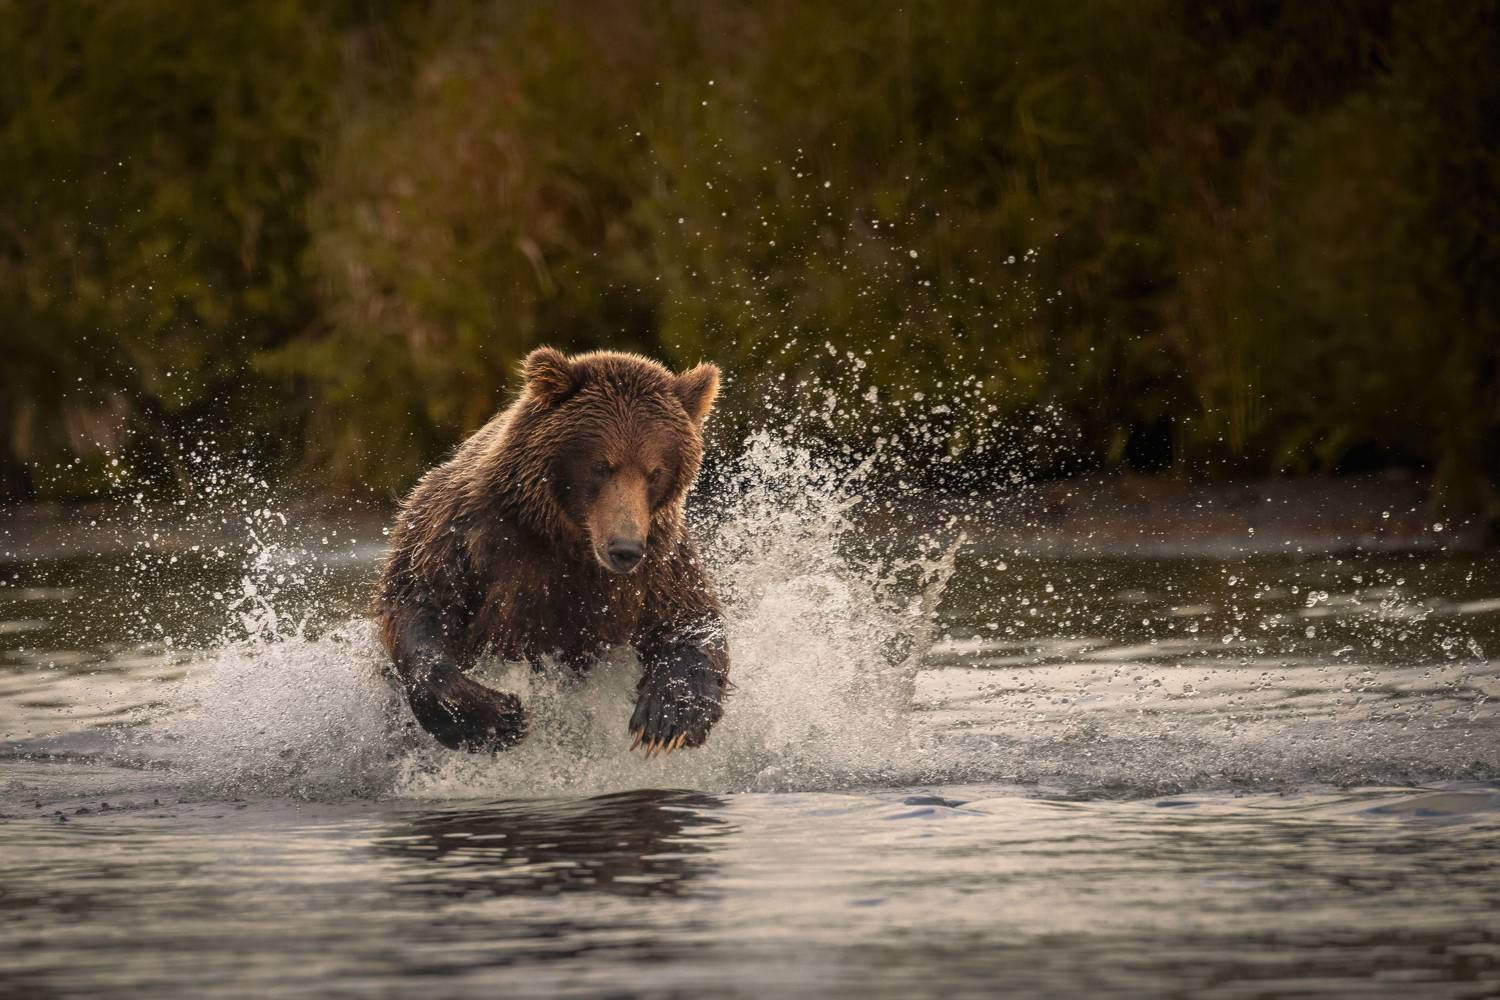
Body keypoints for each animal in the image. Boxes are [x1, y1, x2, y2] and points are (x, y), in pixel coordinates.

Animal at [374, 347, 729, 757]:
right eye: (601, 465)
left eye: (654, 471)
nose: (624, 548)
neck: (565, 536)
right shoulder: (465, 533)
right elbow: (420, 600)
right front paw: (494, 716)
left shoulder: (658, 564)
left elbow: (689, 621)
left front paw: (667, 720)